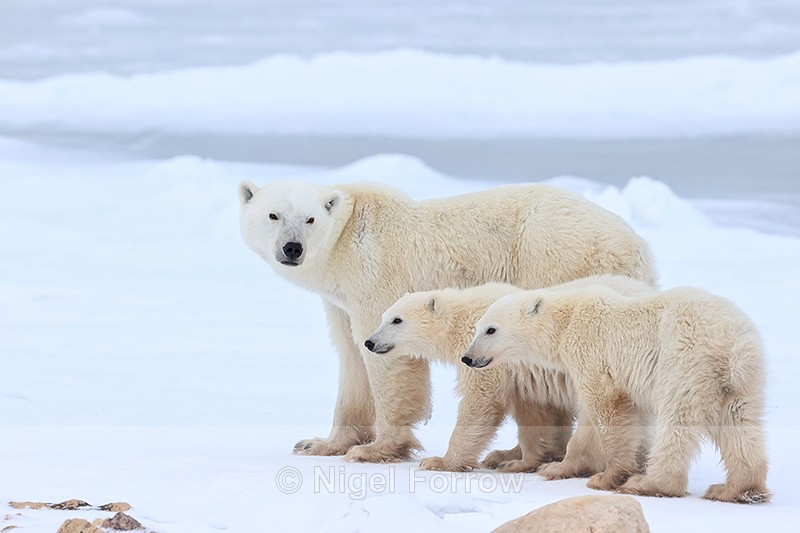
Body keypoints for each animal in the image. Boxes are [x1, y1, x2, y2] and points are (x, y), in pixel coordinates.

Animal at [365, 275, 655, 474]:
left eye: (397, 320)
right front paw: (522, 460)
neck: (463, 320)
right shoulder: (524, 376)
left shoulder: (488, 358)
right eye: (383, 316)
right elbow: (535, 414)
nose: (370, 342)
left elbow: (480, 403)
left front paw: (440, 461)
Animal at [464, 283, 770, 503]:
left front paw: (608, 477)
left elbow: (608, 409)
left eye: (491, 329)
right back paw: (735, 489)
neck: (568, 320)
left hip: (685, 362)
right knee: (739, 424)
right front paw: (556, 468)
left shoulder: (592, 353)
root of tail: (733, 344)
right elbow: (587, 422)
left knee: (677, 421)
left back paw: (648, 483)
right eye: (477, 328)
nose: (468, 357)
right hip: (739, 382)